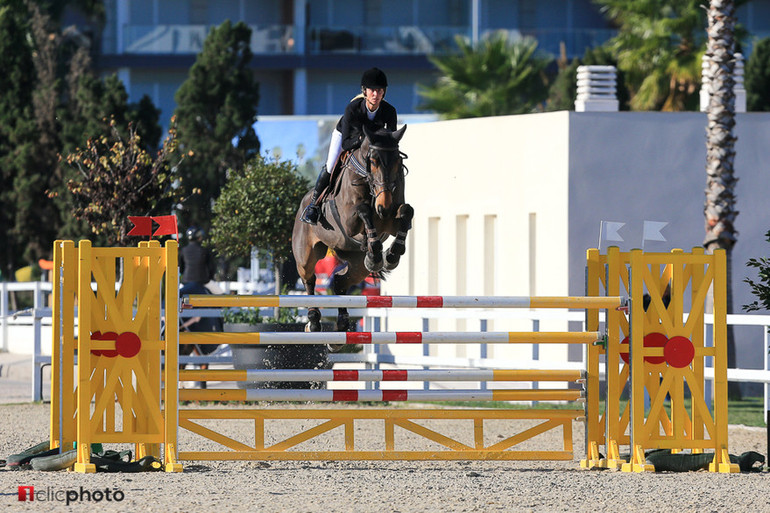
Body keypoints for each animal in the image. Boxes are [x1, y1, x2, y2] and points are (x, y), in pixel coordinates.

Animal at [292, 125, 412, 332]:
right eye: (373, 161)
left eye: (398, 160)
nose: (384, 207)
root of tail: (302, 204)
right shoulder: (349, 223)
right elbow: (363, 210)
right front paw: (378, 251)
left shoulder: (390, 221)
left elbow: (407, 211)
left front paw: (391, 255)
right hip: (306, 255)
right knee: (309, 279)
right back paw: (313, 321)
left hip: (357, 265)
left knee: (340, 281)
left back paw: (342, 322)